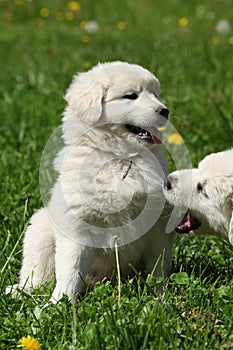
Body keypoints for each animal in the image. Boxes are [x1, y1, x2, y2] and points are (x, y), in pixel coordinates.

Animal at [8, 61, 176, 302]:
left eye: (155, 94)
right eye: (131, 96)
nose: (165, 111)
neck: (119, 156)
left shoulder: (157, 225)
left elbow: (158, 267)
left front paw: (160, 298)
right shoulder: (77, 226)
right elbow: (69, 268)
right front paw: (60, 302)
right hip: (39, 229)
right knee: (36, 273)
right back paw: (21, 290)